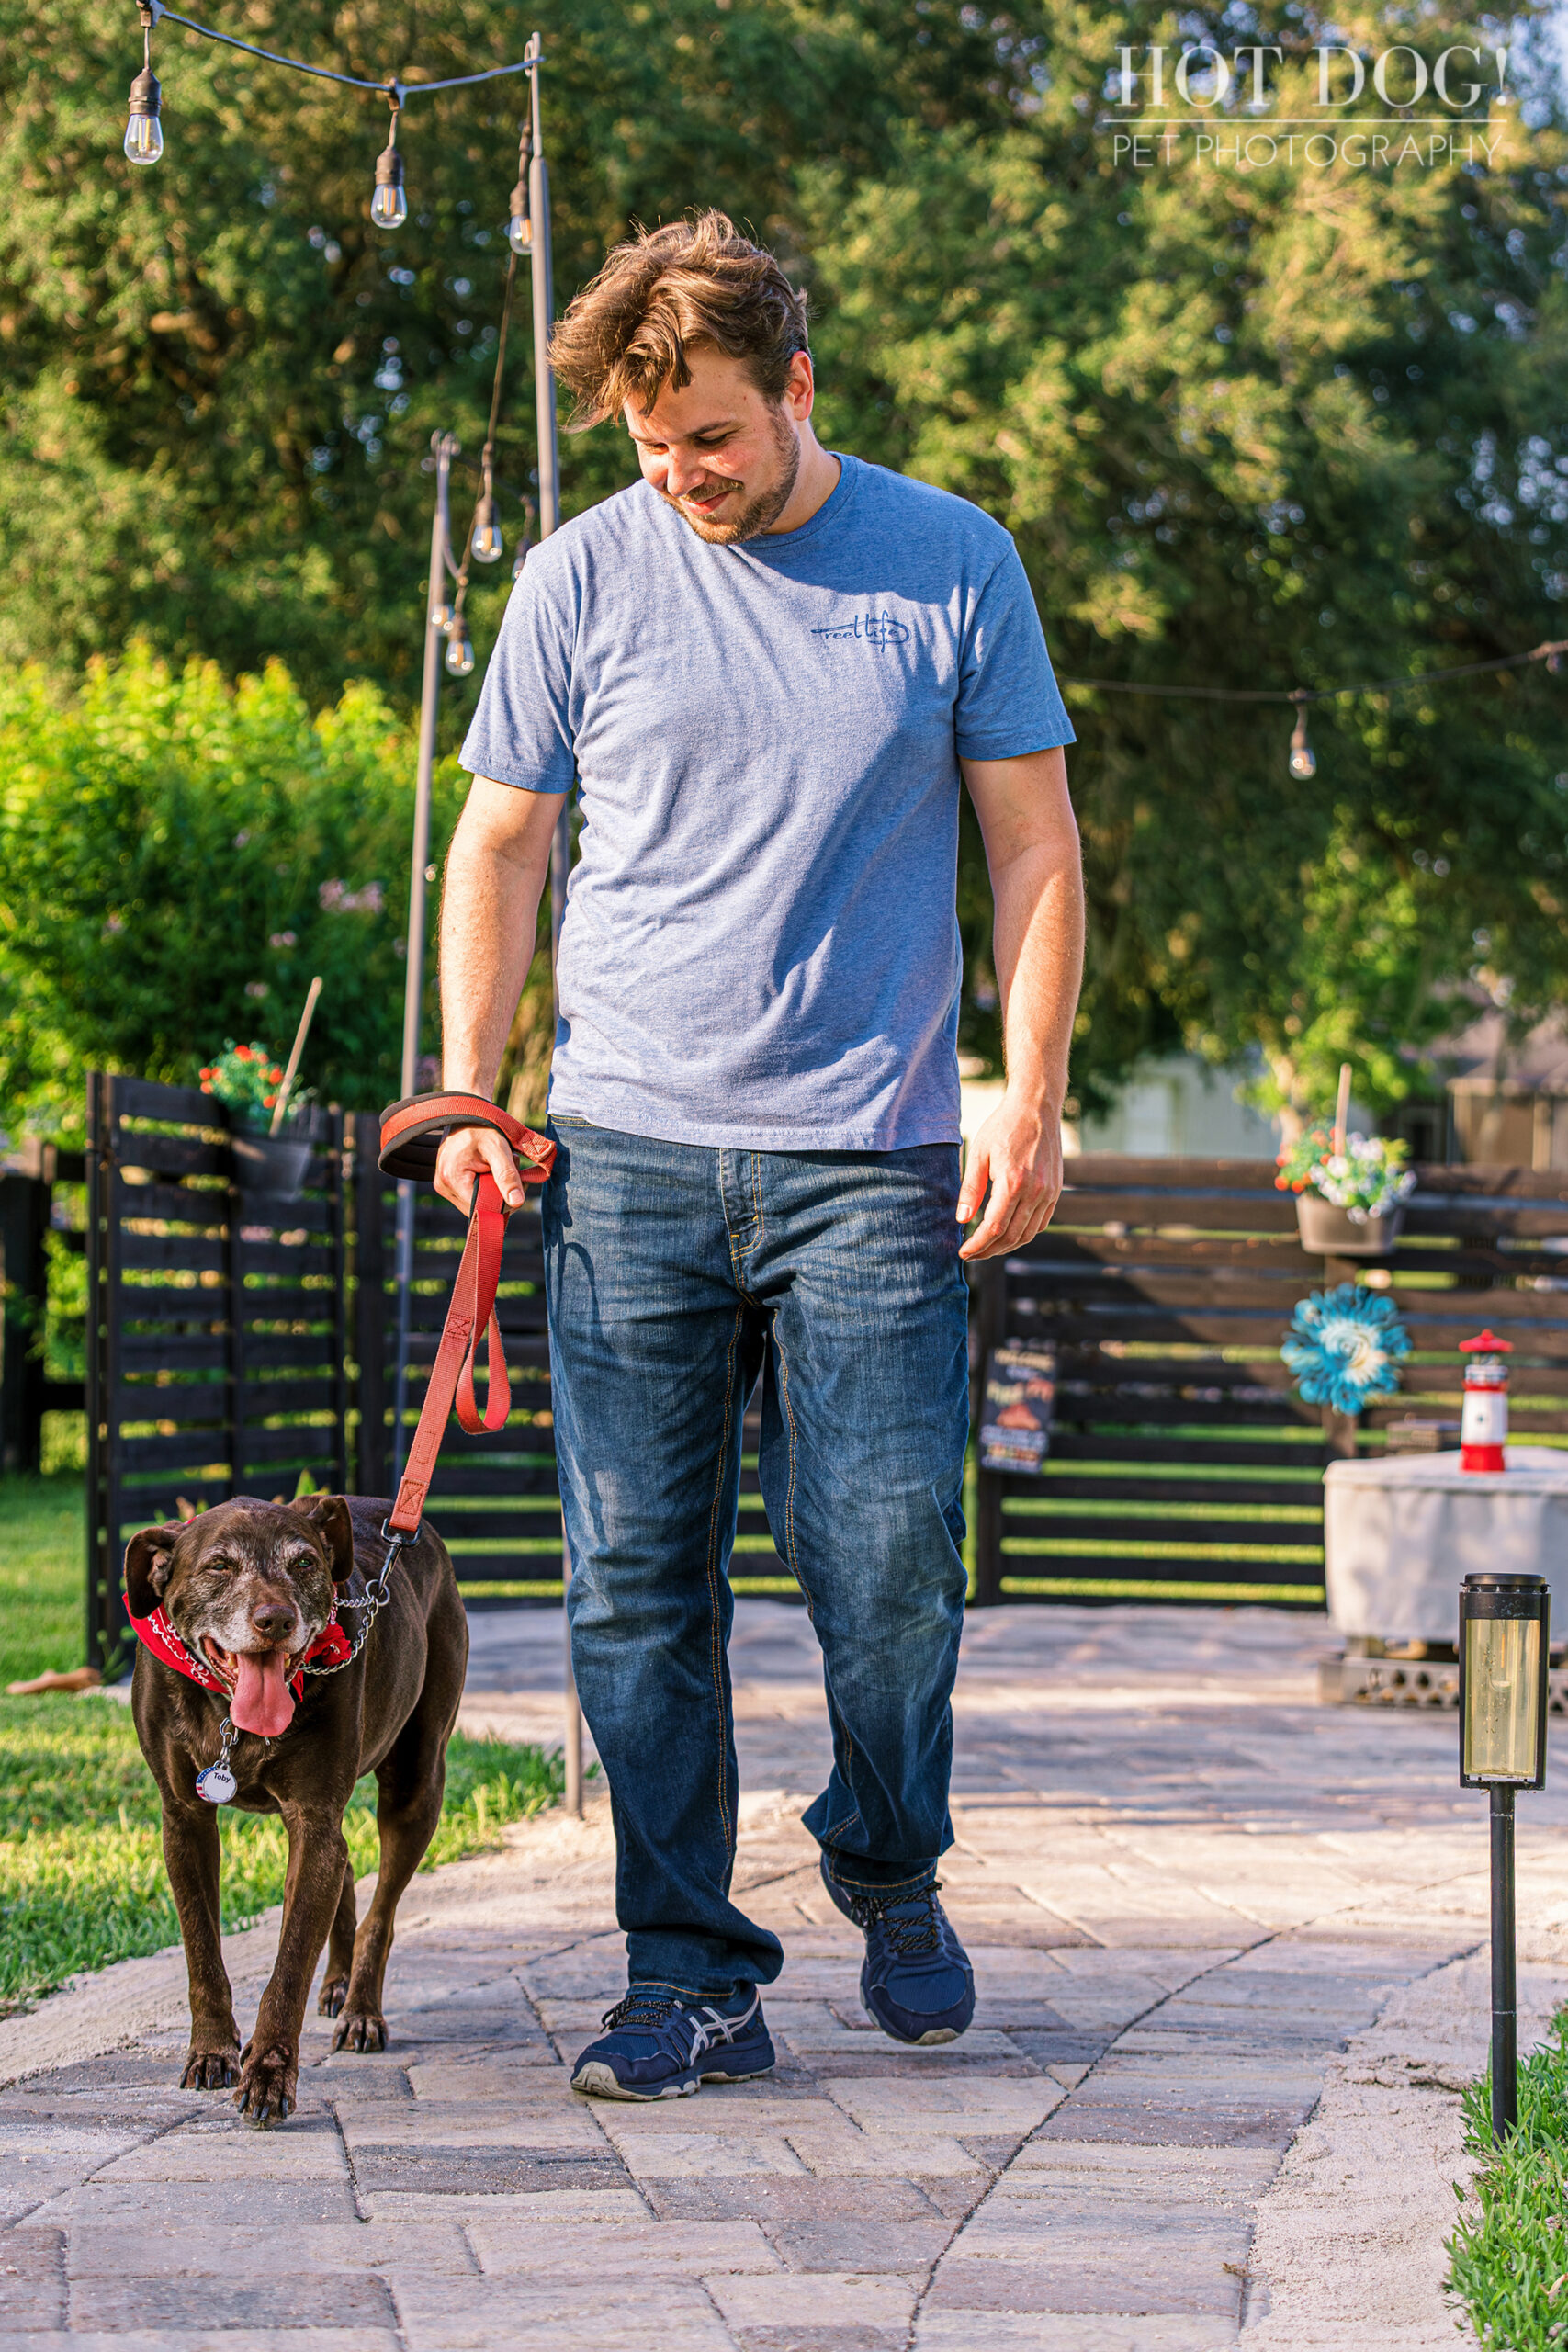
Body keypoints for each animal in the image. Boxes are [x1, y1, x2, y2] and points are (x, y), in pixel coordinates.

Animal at [125, 1496, 469, 2126]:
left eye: (305, 1562)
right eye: (219, 1566)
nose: (275, 1620)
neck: (231, 1714)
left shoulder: (312, 1820)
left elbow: (288, 1968)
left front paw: (267, 2073)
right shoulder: (184, 1820)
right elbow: (202, 1949)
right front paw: (213, 2050)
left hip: (416, 1782)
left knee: (381, 1911)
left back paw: (359, 2006)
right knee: (348, 1866)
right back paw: (335, 1984)